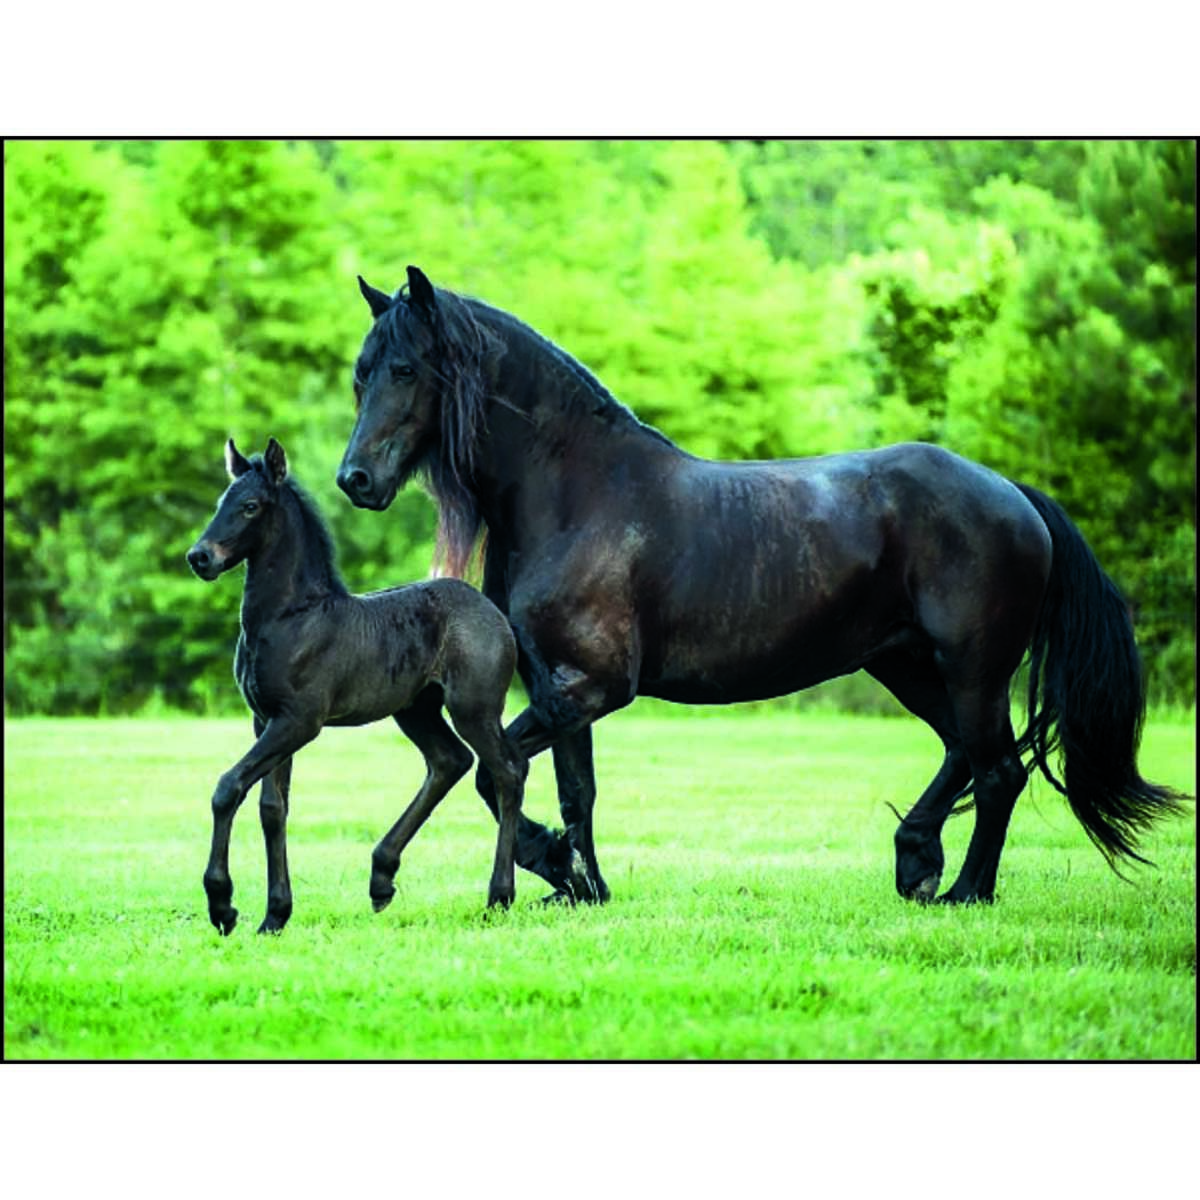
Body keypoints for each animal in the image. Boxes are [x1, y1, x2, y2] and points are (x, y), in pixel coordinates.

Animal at [186, 436, 527, 934]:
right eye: (219, 503)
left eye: (249, 506)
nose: (200, 557)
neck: (290, 617)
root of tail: (494, 612)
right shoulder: (264, 720)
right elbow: (273, 809)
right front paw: (275, 915)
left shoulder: (299, 721)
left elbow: (229, 787)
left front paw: (222, 905)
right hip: (415, 710)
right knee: (450, 762)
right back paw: (381, 878)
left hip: (474, 709)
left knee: (507, 772)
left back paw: (499, 895)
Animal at [336, 265, 1185, 906]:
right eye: (359, 376)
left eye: (405, 369)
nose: (355, 480)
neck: (581, 494)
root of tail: (1014, 494)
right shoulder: (560, 686)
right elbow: (576, 791)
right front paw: (581, 886)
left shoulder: (593, 687)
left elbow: (496, 769)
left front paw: (551, 870)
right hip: (907, 664)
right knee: (964, 756)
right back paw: (917, 858)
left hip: (974, 667)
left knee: (999, 770)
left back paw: (964, 891)